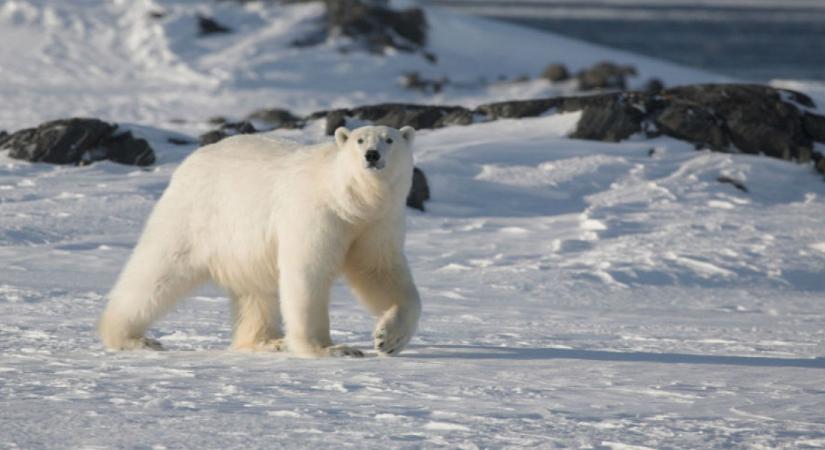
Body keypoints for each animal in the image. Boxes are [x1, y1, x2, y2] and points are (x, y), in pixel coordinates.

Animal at [97, 125, 422, 356]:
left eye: (389, 139)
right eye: (359, 140)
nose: (372, 155)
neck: (349, 201)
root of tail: (190, 161)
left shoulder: (376, 223)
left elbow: (379, 272)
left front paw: (387, 338)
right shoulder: (316, 214)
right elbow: (308, 272)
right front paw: (331, 348)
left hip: (243, 246)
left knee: (256, 291)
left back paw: (267, 341)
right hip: (196, 216)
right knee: (158, 270)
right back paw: (131, 338)